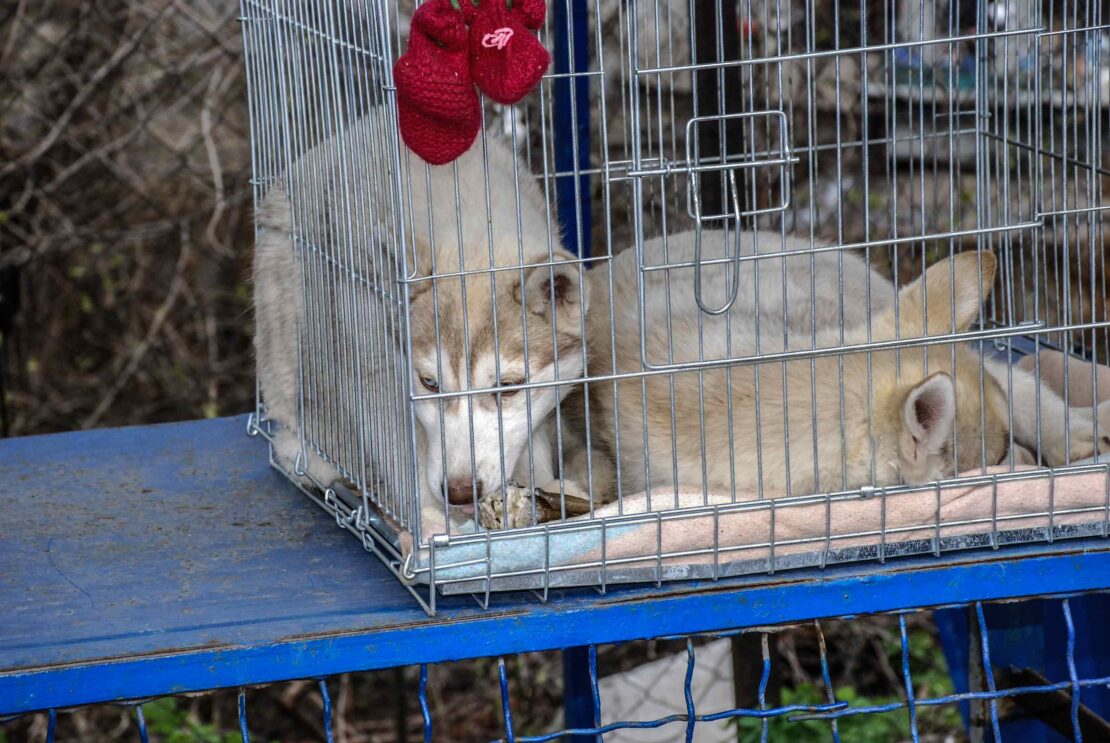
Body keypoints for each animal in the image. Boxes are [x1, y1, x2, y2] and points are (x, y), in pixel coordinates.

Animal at [254, 113, 590, 524]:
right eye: (429, 383)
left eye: (508, 387)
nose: (459, 492)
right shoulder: (375, 368)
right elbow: (402, 451)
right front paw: (431, 521)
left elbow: (532, 435)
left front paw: (542, 488)